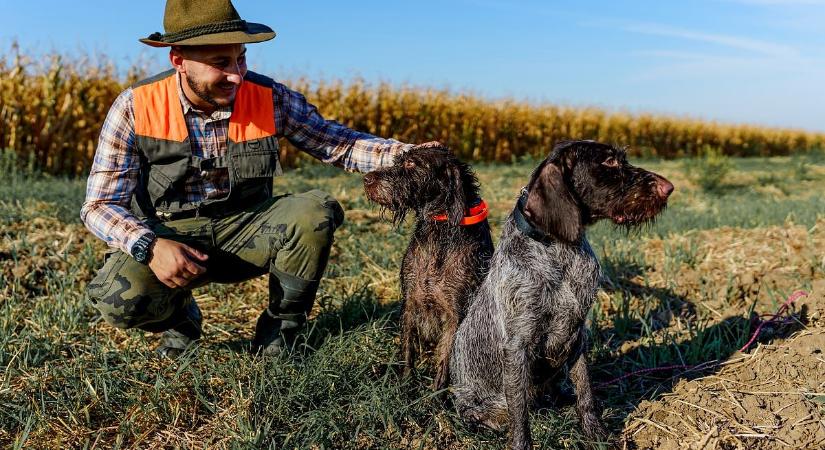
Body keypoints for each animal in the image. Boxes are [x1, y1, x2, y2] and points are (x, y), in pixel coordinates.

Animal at [448, 140, 672, 446]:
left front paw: (596, 434)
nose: (669, 187)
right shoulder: (517, 346)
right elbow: (520, 416)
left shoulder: (577, 335)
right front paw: (521, 444)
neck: (560, 250)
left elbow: (586, 393)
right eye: (609, 162)